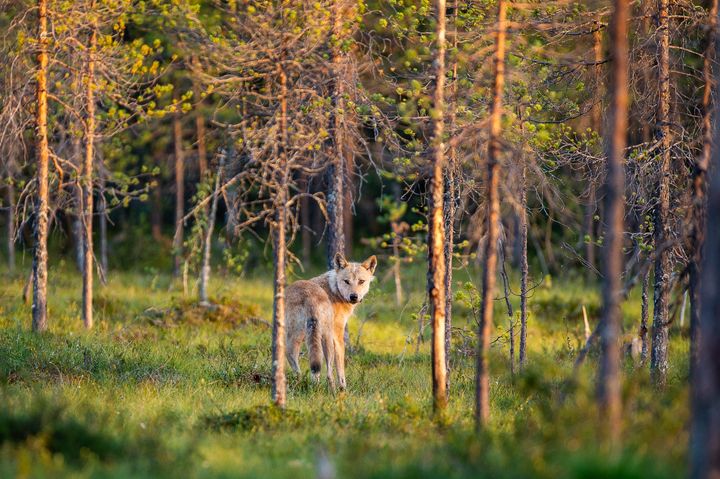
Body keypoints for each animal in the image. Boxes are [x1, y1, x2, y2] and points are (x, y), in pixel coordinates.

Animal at [286, 253, 380, 392]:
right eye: (346, 281)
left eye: (361, 281)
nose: (354, 296)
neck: (334, 290)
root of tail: (308, 295)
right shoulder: (338, 336)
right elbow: (340, 369)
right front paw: (343, 389)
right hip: (325, 337)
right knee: (327, 371)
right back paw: (331, 390)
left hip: (298, 336)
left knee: (291, 356)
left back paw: (301, 383)